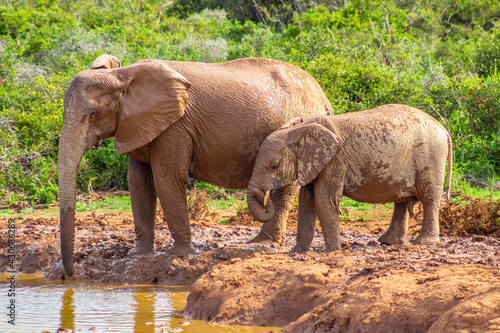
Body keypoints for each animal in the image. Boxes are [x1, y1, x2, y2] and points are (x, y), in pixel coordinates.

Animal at [58, 54, 332, 276]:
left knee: (283, 191)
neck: (122, 76)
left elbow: (167, 179)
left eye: (93, 115)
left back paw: (260, 244)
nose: (71, 274)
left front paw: (178, 255)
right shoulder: (138, 125)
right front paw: (139, 256)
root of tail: (324, 97)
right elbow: (139, 183)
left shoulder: (174, 126)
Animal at [247, 104, 454, 252]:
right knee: (401, 202)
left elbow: (324, 200)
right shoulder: (311, 164)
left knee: (429, 198)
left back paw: (423, 242)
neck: (301, 130)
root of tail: (443, 128)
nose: (265, 197)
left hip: (430, 156)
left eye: (274, 165)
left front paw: (333, 251)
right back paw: (388, 242)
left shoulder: (334, 161)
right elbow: (306, 201)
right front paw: (296, 253)